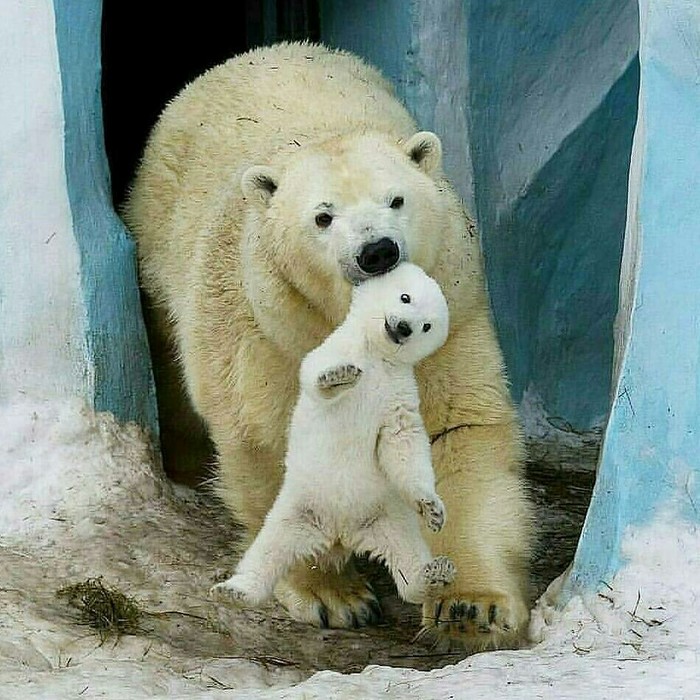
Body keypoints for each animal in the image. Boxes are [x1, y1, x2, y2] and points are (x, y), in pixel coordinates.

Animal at [124, 42, 532, 652]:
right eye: (323, 216)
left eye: (396, 199)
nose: (377, 251)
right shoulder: (270, 332)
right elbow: (272, 442)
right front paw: (333, 596)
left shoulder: (451, 315)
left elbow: (453, 430)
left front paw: (471, 607)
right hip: (160, 242)